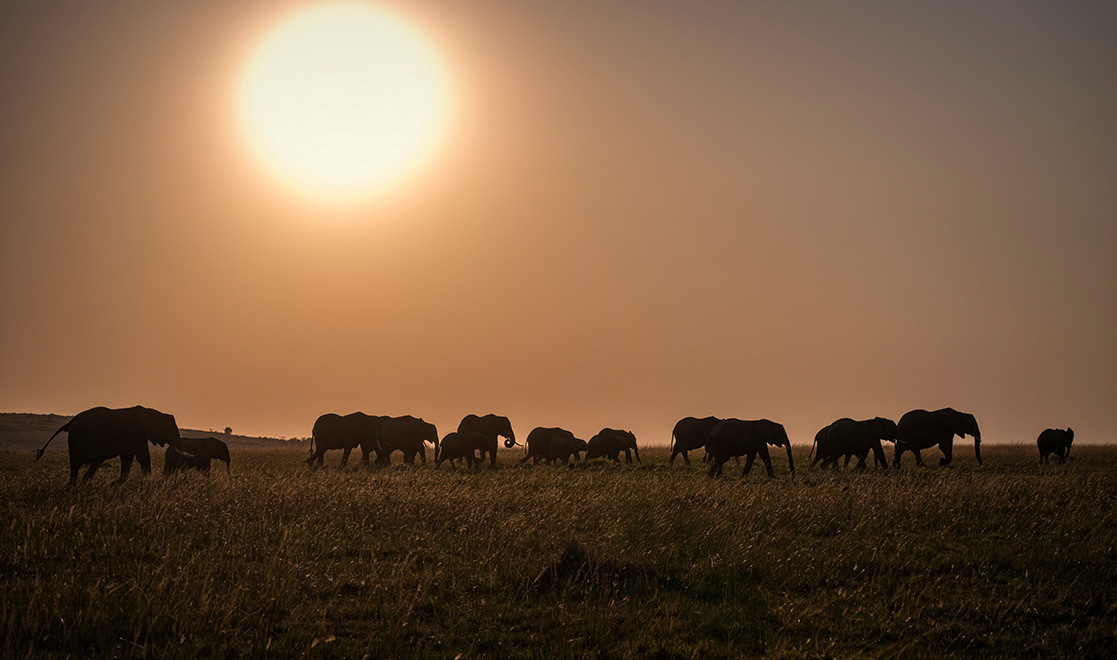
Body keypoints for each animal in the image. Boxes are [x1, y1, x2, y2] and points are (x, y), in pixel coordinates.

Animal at [35, 405, 185, 484]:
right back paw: (74, 486)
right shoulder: (135, 434)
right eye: (169, 430)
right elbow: (141, 457)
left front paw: (118, 483)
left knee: (94, 463)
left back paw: (84, 483)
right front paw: (148, 480)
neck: (152, 412)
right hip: (76, 439)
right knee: (76, 463)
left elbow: (128, 458)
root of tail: (70, 423)